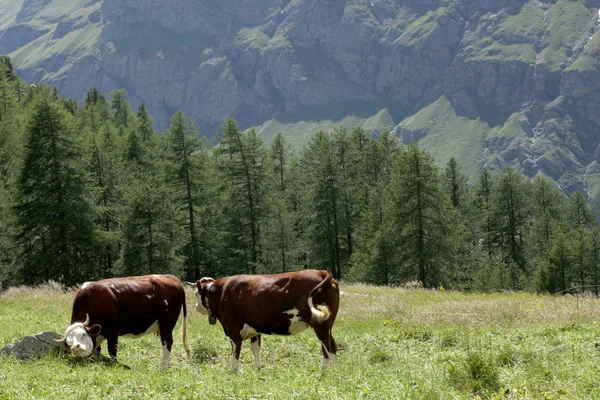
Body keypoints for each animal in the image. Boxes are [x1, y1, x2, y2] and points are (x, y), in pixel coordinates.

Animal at [56, 274, 189, 370]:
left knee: (167, 343)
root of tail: (170, 277)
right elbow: (98, 350)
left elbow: (112, 350)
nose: (75, 347)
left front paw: (114, 365)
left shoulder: (112, 330)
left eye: (83, 334)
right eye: (68, 342)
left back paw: (163, 368)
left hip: (167, 324)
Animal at [195, 268, 340, 372]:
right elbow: (255, 349)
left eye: (196, 293)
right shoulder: (255, 329)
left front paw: (233, 370)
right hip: (326, 325)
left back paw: (332, 373)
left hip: (320, 325)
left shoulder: (233, 329)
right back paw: (324, 372)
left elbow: (236, 351)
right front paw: (257, 369)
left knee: (329, 347)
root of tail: (322, 272)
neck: (222, 291)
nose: (196, 307)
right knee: (327, 348)